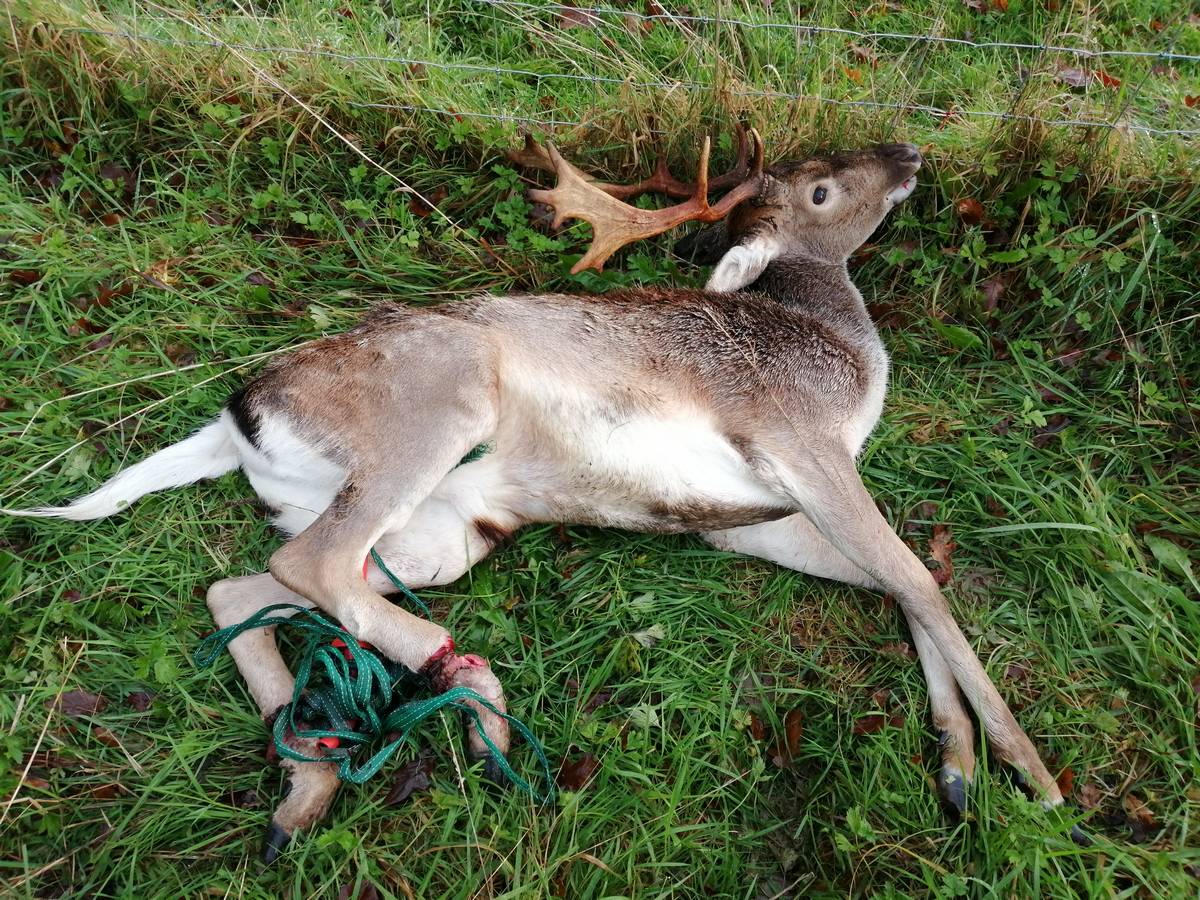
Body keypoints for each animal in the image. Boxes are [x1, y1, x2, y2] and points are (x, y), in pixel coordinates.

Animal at [2, 127, 1089, 859]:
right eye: (823, 189)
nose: (907, 151)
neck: (844, 359)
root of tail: (237, 418)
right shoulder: (801, 445)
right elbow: (920, 577)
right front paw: (1031, 775)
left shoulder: (749, 523)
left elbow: (902, 586)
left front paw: (958, 769)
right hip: (443, 405)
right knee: (307, 563)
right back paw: (478, 704)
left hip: (433, 534)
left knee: (249, 584)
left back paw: (306, 790)